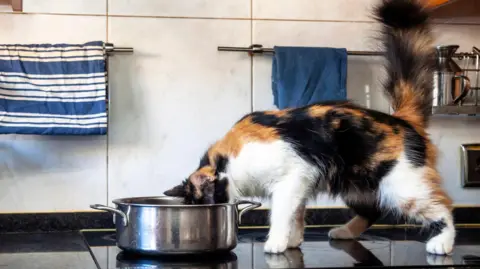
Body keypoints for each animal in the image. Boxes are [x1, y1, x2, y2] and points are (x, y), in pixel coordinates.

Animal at [163, 0, 456, 255]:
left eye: (205, 204)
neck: (228, 161)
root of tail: (400, 119)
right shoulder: (301, 183)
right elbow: (296, 214)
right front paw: (292, 241)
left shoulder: (292, 176)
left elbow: (281, 213)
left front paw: (276, 243)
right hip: (356, 186)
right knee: (374, 210)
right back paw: (344, 232)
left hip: (402, 186)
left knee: (443, 206)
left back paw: (442, 243)